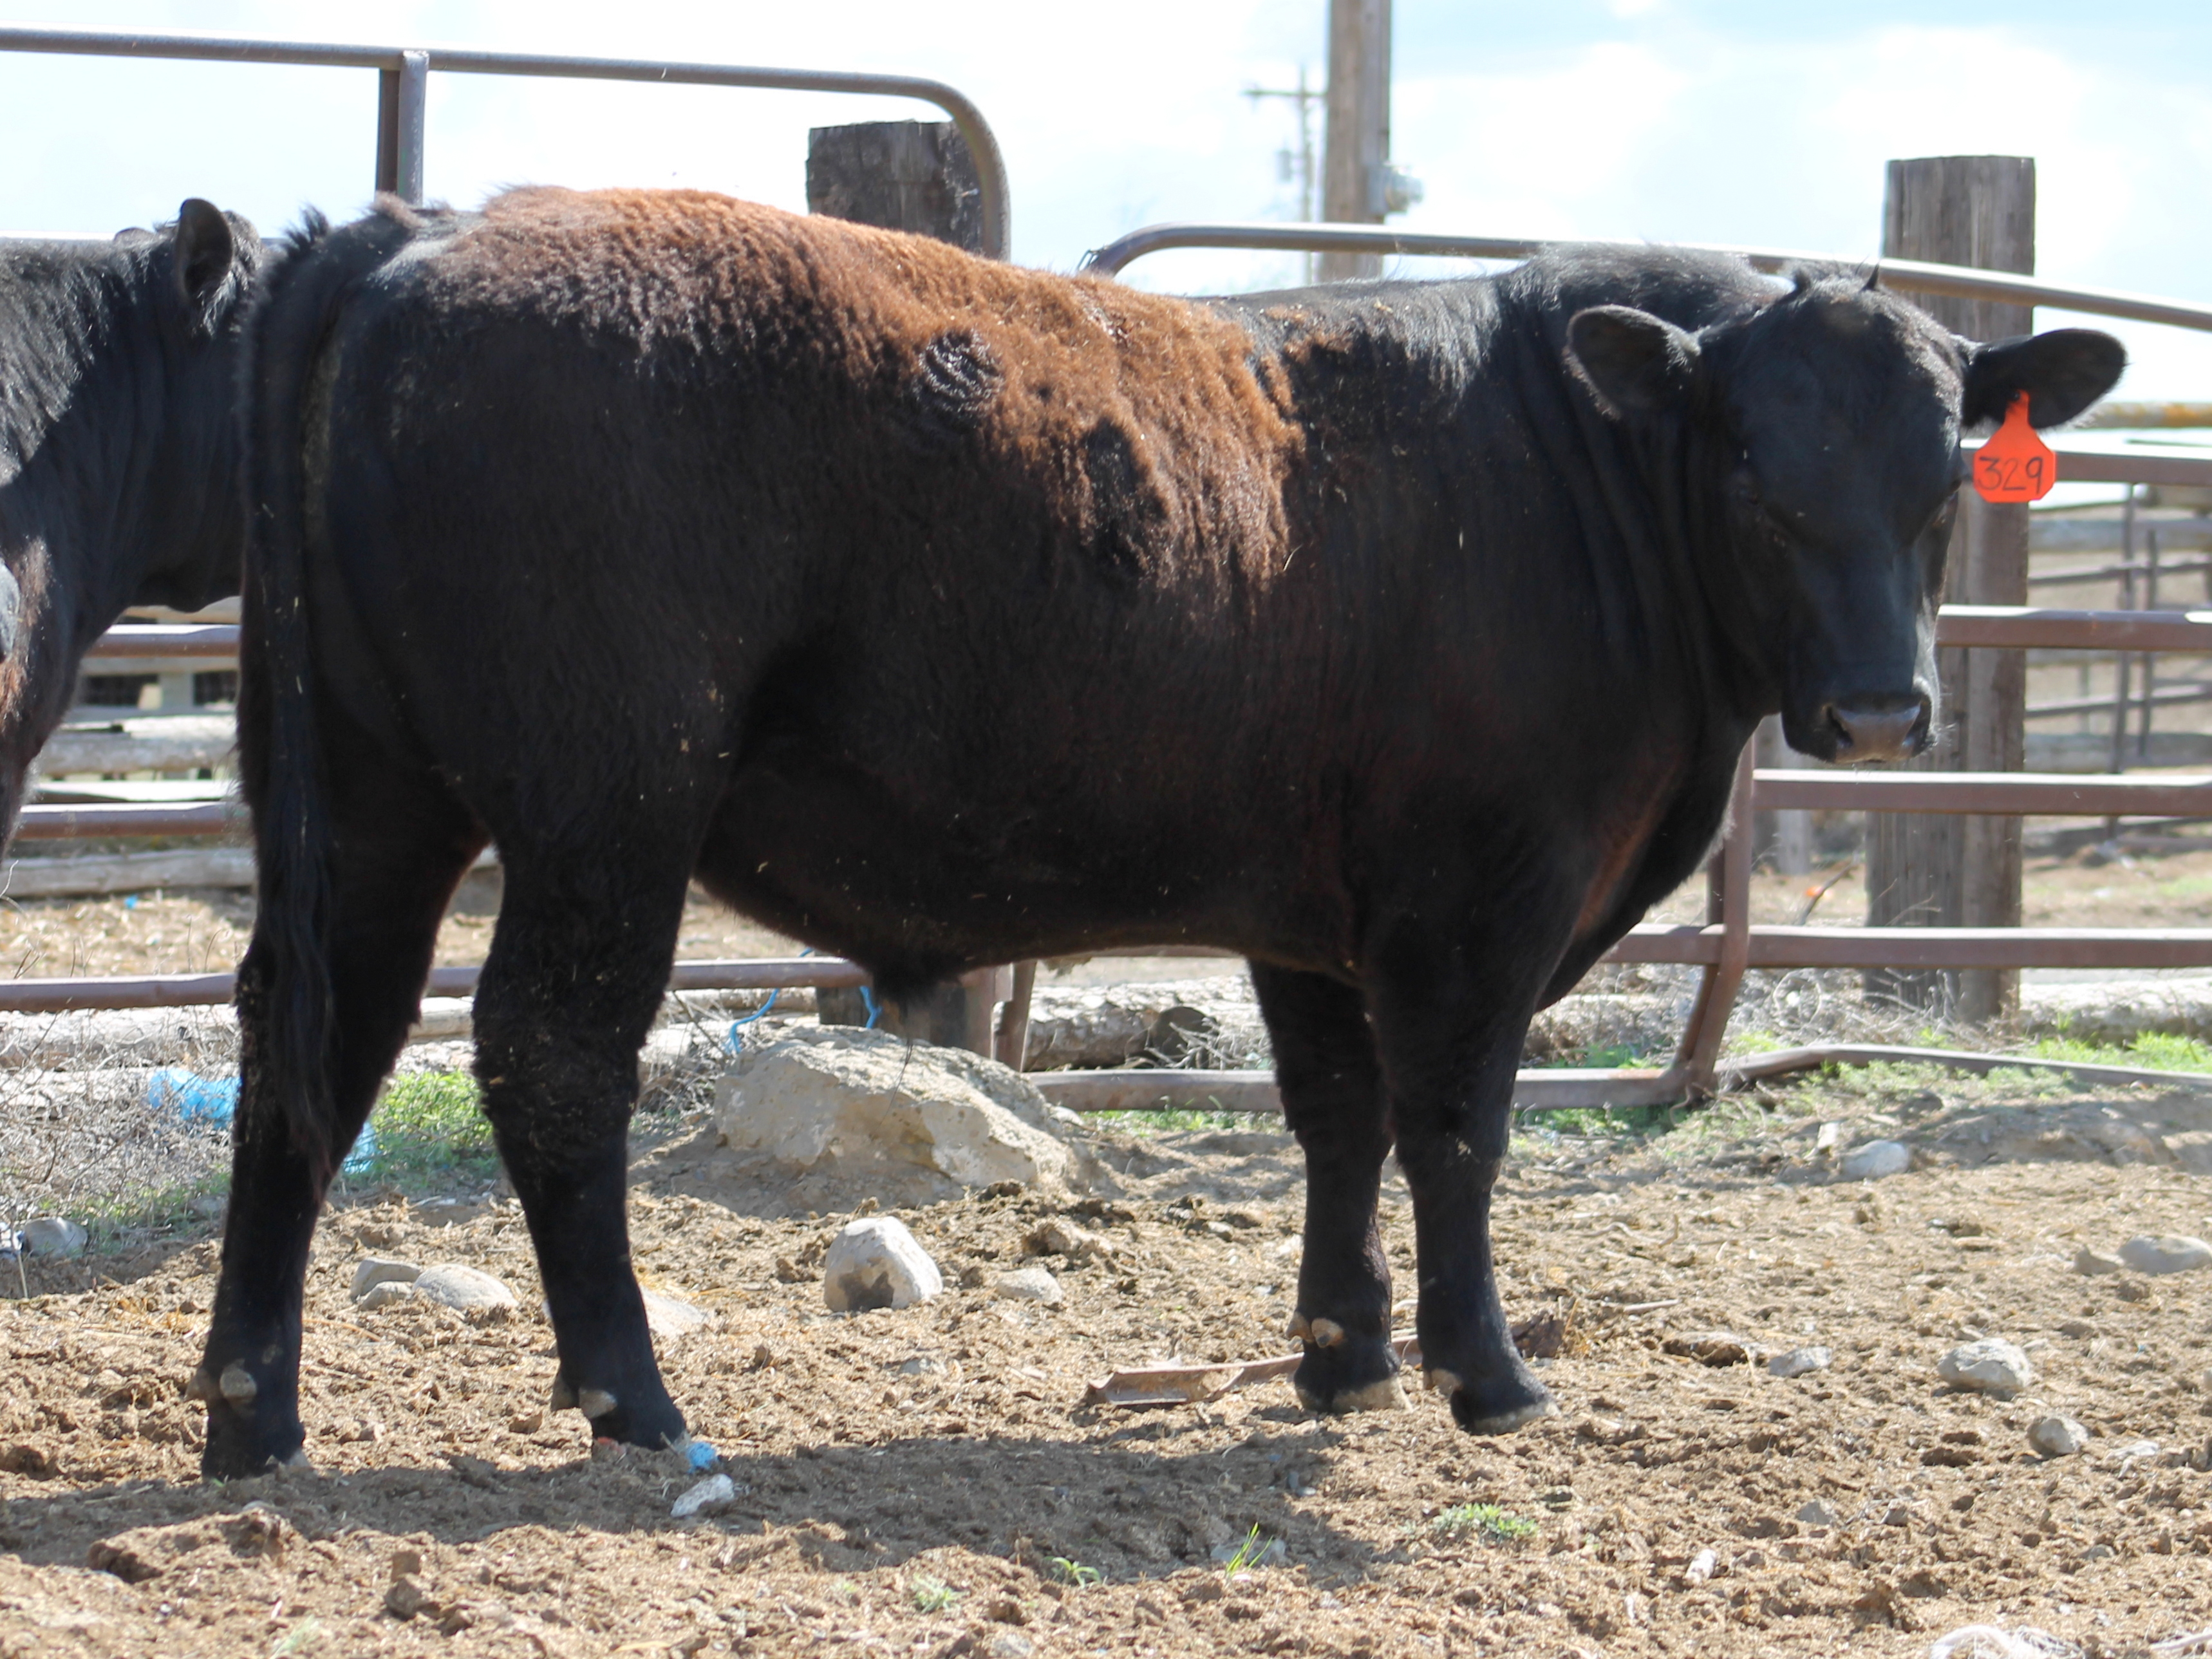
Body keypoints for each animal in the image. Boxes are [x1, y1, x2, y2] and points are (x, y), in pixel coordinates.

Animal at [195, 186, 2123, 1476]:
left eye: (1945, 467)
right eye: (1743, 463)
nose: (1877, 713)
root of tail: (415, 239)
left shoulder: (1313, 906)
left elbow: (1337, 1116)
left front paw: (1341, 1353)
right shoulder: (1473, 900)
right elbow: (1455, 1127)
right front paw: (1484, 1373)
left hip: (371, 805)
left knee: (310, 1055)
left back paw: (252, 1410)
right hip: (605, 807)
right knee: (546, 1061)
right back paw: (636, 1401)